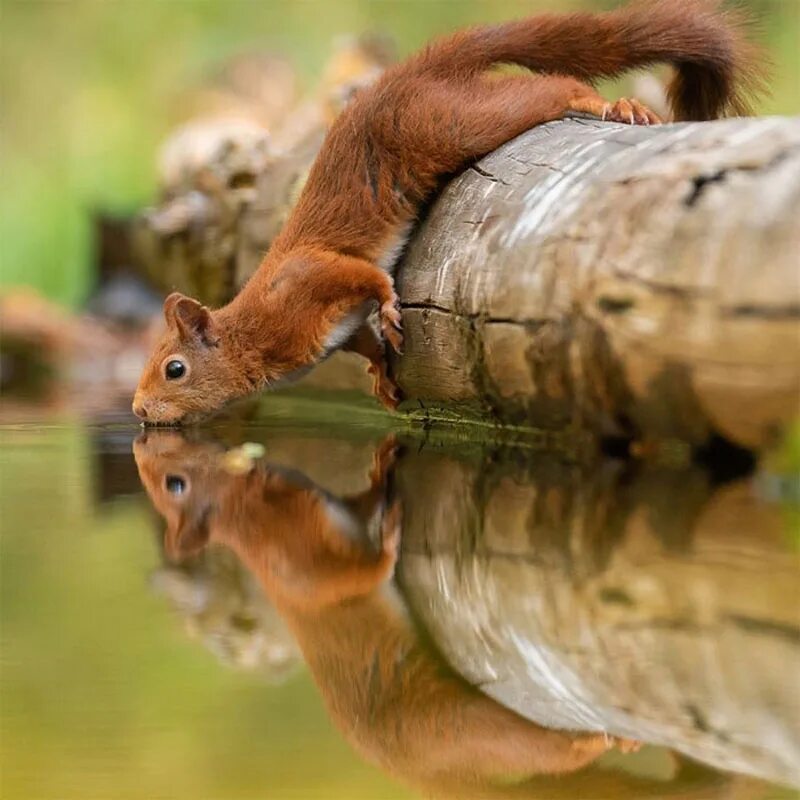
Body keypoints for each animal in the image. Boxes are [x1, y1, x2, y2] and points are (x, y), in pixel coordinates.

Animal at [131, 0, 756, 424]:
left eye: (174, 368)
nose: (137, 411)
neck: (254, 331)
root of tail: (412, 72)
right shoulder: (333, 330)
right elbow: (362, 339)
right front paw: (381, 376)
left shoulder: (307, 279)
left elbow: (361, 273)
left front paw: (388, 304)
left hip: (449, 122)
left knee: (550, 89)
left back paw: (610, 103)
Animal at [133, 434, 656, 796]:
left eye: (171, 481)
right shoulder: (305, 567)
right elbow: (358, 574)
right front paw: (391, 528)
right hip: (456, 727)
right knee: (548, 751)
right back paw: (606, 737)